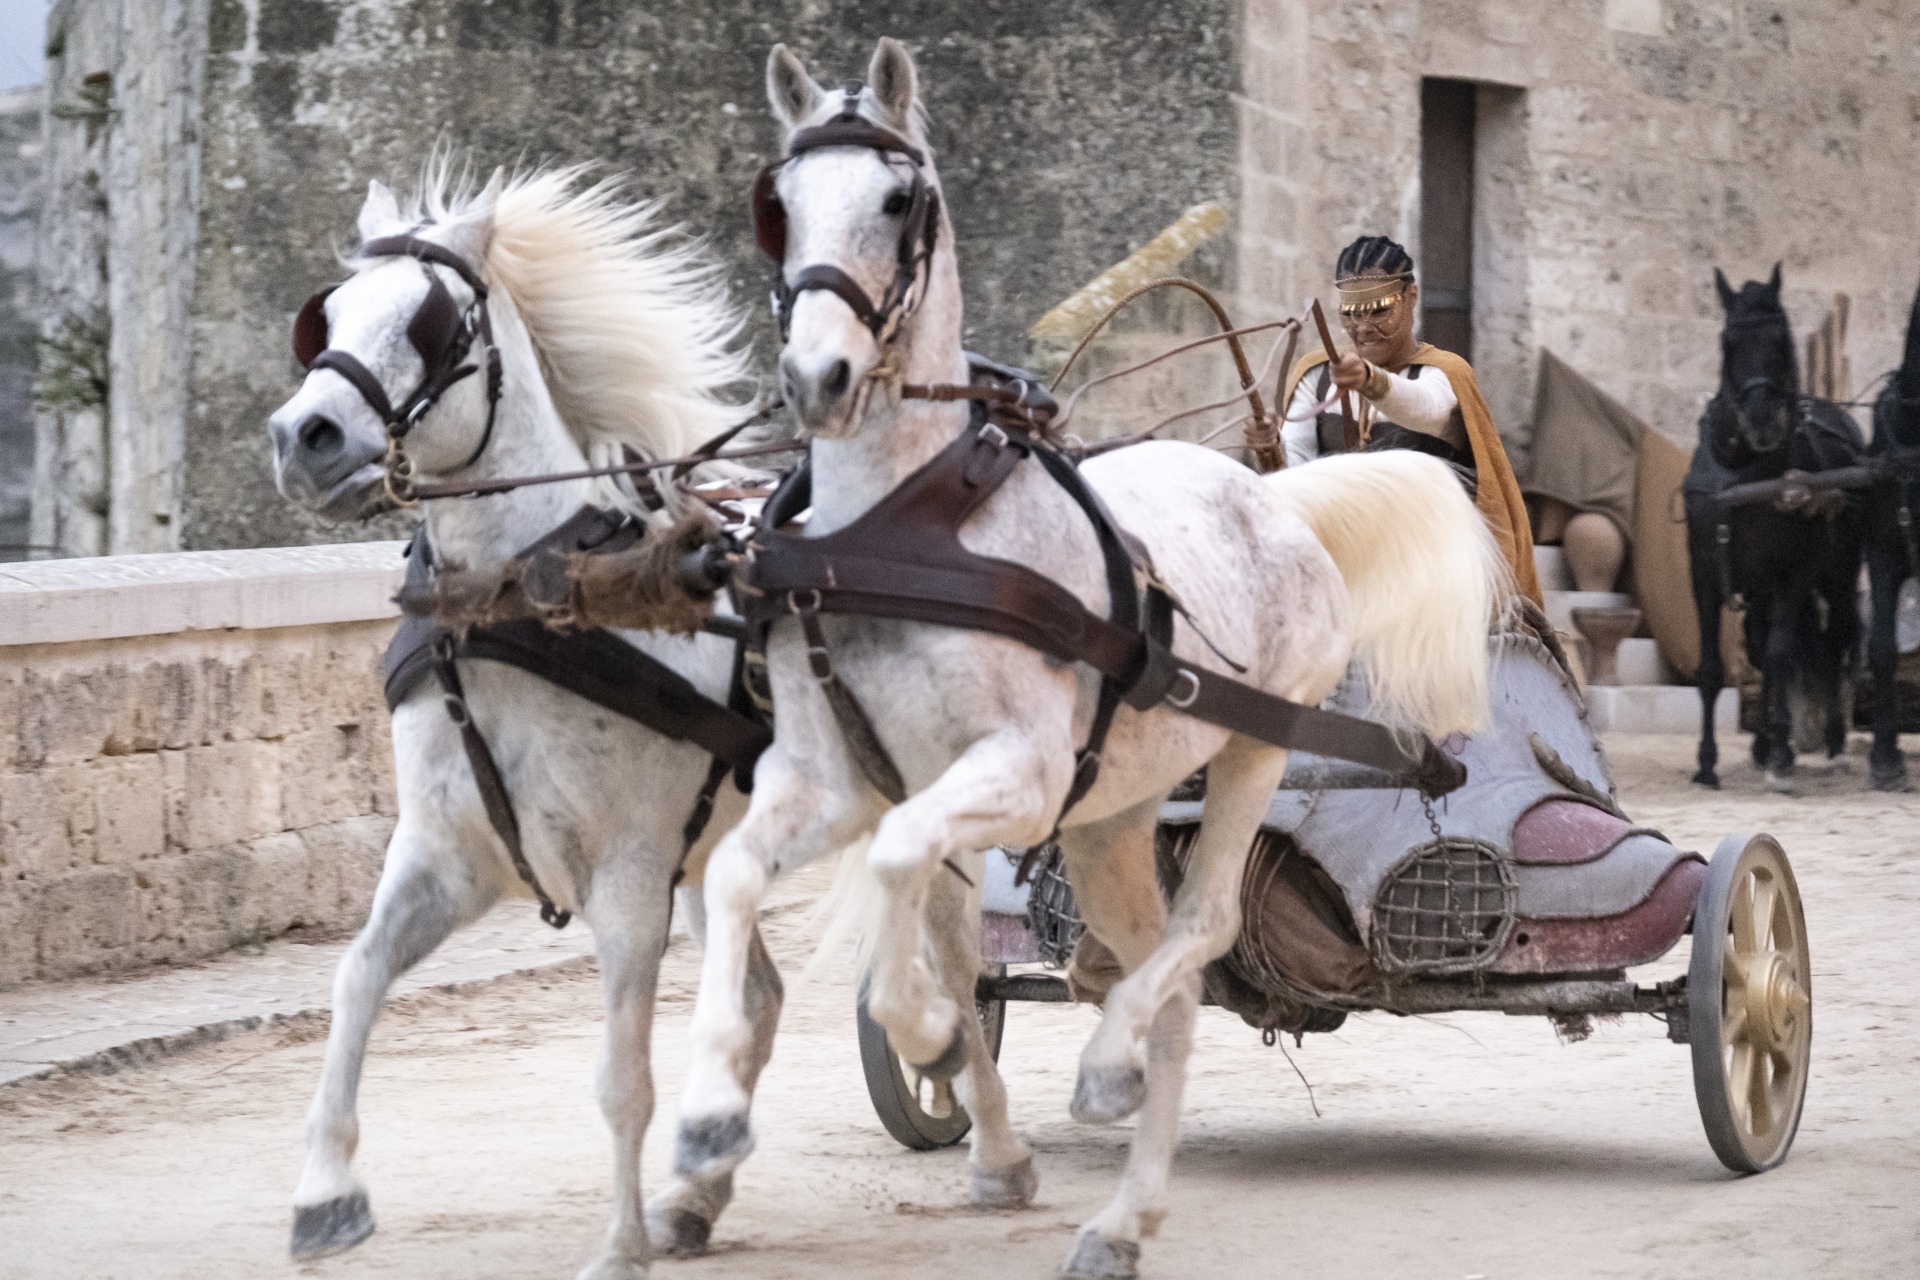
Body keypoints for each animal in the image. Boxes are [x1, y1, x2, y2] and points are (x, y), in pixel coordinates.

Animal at [261, 165, 802, 1274]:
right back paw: (702, 1189)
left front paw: (620, 1244)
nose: (303, 437)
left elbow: (622, 1076)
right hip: (712, 856)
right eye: (327, 315)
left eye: (431, 322)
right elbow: (354, 979)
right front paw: (325, 1192)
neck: (512, 607)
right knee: (761, 998)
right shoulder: (445, 856)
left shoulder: (628, 877)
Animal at [675, 40, 1512, 1280]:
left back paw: (1110, 1082)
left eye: (899, 200)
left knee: (1203, 930)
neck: (904, 532)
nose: (816, 376)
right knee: (1166, 974)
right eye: (776, 205)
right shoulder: (826, 778)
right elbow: (742, 877)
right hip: (1112, 812)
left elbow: (902, 862)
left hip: (1257, 743)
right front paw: (707, 1127)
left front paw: (924, 1028)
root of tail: (1273, 495)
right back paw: (1120, 1209)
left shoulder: (1013, 770)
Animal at [1689, 264, 1866, 790]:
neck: (1739, 472)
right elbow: (1712, 669)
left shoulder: (1793, 574)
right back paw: (1763, 743)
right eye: (1728, 341)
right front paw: (1707, 764)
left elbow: (1782, 655)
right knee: (1759, 643)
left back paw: (1826, 743)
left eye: (1783, 339)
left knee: (1833, 639)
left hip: (1838, 573)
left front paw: (1783, 753)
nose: (1764, 422)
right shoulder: (1703, 575)